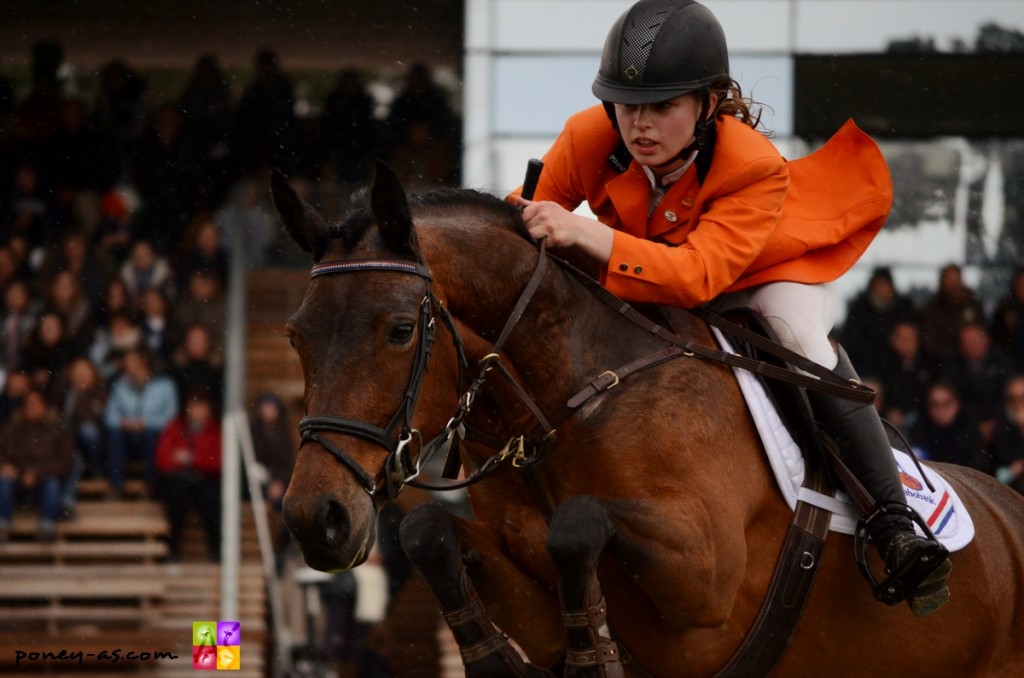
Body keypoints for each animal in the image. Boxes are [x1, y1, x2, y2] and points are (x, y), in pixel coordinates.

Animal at [272, 164, 1024, 678]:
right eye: (295, 335)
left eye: (400, 330)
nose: (317, 519)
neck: (561, 407)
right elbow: (428, 531)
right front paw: (499, 660)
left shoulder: (706, 577)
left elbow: (577, 522)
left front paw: (592, 657)